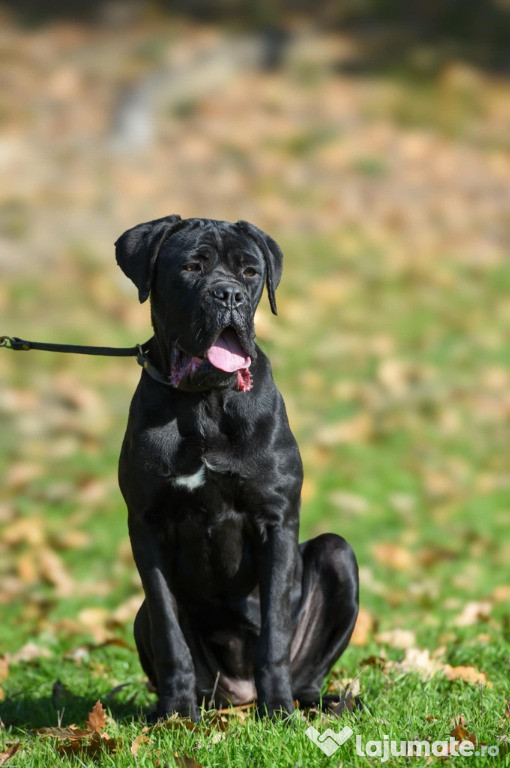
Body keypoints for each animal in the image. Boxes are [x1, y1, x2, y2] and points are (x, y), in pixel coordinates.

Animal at [115, 216, 358, 720]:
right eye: (191, 266)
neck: (205, 403)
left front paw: (278, 710)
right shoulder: (146, 527)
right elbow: (169, 630)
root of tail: (238, 697)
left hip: (339, 555)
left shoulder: (276, 519)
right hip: (143, 617)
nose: (229, 295)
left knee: (308, 671)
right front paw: (174, 713)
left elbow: (275, 632)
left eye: (250, 271)